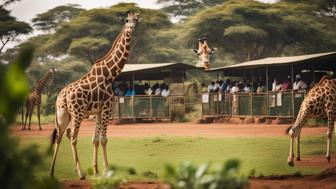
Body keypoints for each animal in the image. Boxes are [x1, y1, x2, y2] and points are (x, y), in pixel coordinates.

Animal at [49, 11, 140, 179]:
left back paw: (52, 172)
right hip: (77, 113)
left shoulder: (98, 110)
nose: (131, 28)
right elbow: (104, 139)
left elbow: (95, 140)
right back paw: (80, 173)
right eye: (126, 20)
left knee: (60, 136)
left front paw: (97, 170)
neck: (110, 74)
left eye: (136, 20)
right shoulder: (107, 107)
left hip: (63, 114)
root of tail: (62, 97)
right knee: (73, 137)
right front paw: (107, 170)